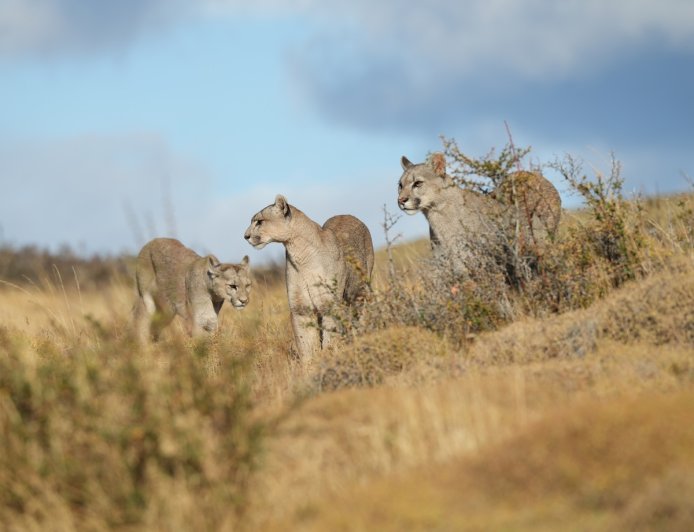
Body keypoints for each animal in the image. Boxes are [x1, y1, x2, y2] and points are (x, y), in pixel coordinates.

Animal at [244, 195, 374, 362]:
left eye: (259, 221)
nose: (245, 236)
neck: (300, 256)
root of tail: (347, 214)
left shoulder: (328, 304)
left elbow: (329, 337)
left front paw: (329, 355)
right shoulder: (300, 308)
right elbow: (305, 343)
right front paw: (309, 364)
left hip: (361, 290)